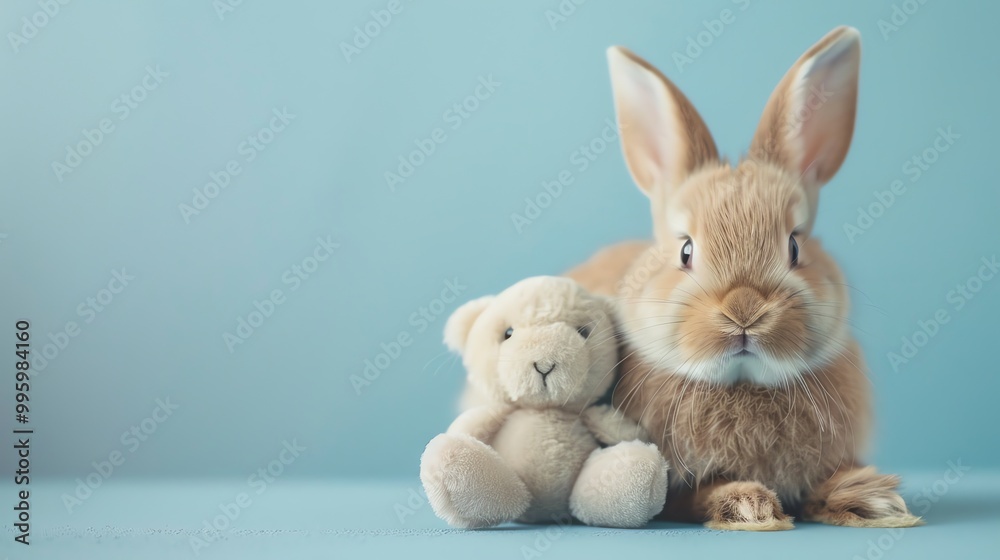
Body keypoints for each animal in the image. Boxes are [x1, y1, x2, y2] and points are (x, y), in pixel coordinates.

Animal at [568, 27, 924, 532]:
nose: (743, 311)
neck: (744, 384)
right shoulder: (676, 489)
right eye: (686, 250)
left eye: (794, 247)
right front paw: (748, 506)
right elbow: (695, 496)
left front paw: (871, 499)